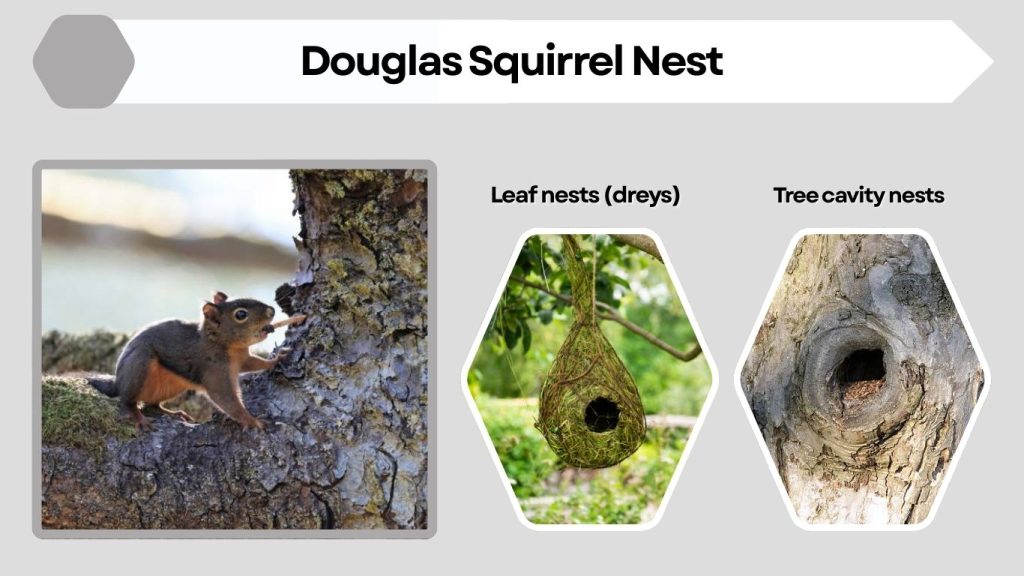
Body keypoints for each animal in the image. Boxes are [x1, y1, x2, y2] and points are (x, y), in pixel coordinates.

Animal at [90, 291, 297, 431]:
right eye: (241, 314)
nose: (271, 310)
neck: (224, 345)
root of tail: (118, 381)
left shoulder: (242, 359)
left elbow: (256, 364)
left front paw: (277, 359)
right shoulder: (214, 371)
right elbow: (226, 399)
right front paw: (252, 421)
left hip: (172, 385)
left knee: (153, 405)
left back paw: (174, 413)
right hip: (139, 367)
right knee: (127, 399)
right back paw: (137, 417)